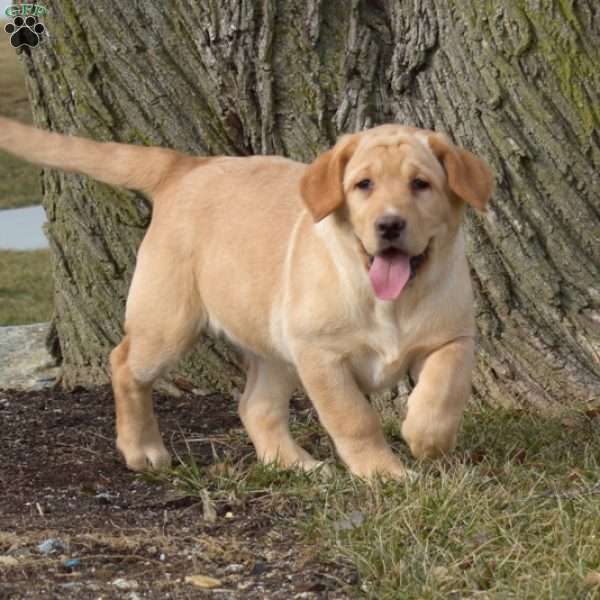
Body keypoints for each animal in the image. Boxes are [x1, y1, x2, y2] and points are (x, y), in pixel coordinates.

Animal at [0, 119, 492, 480]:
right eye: (364, 185)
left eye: (421, 185)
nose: (389, 225)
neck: (391, 300)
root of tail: (185, 165)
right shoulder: (321, 354)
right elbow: (354, 418)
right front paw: (382, 472)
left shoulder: (454, 338)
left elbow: (442, 391)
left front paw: (426, 439)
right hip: (168, 323)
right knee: (123, 364)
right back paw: (143, 450)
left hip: (273, 349)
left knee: (255, 407)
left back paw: (296, 464)